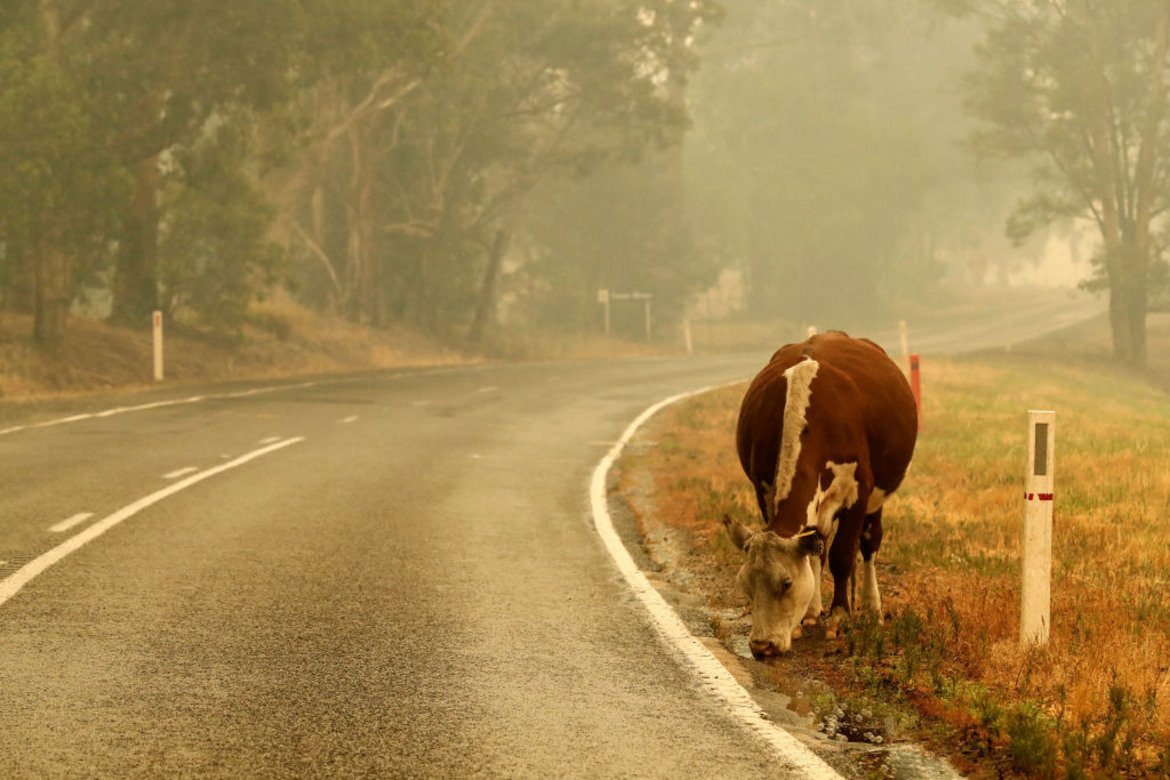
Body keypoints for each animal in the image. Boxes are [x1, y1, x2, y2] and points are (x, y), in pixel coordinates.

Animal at [725, 332, 917, 659]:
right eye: (746, 586)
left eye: (786, 583)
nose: (762, 646)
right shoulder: (763, 491)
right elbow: (816, 553)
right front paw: (806, 617)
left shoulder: (859, 493)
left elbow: (842, 556)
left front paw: (840, 615)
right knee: (818, 547)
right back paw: (813, 611)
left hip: (877, 499)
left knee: (869, 543)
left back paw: (871, 607)